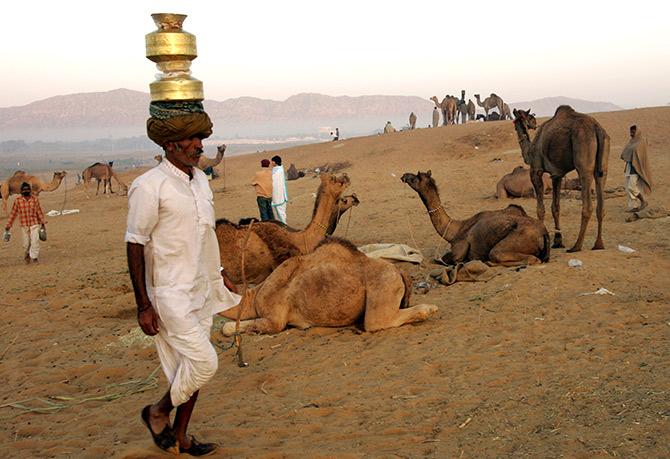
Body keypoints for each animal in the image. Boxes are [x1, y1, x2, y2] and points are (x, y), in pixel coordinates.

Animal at [220, 239, 440, 336]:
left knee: (377, 321)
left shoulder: (274, 320)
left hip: (382, 288)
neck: (253, 295)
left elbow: (228, 327)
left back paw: (430, 309)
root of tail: (399, 271)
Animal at [402, 171, 552, 268]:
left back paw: (489, 263)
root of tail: (544, 234)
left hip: (508, 246)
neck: (454, 229)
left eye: (415, 178)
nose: (404, 176)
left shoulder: (459, 249)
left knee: (528, 258)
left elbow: (440, 260)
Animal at [516, 106, 616, 253]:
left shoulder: (535, 170)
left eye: (529, 117)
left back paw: (576, 246)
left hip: (583, 156)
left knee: (587, 205)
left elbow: (540, 209)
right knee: (601, 203)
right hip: (603, 164)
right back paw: (598, 244)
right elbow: (555, 207)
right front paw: (558, 241)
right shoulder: (557, 175)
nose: (533, 124)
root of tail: (596, 127)